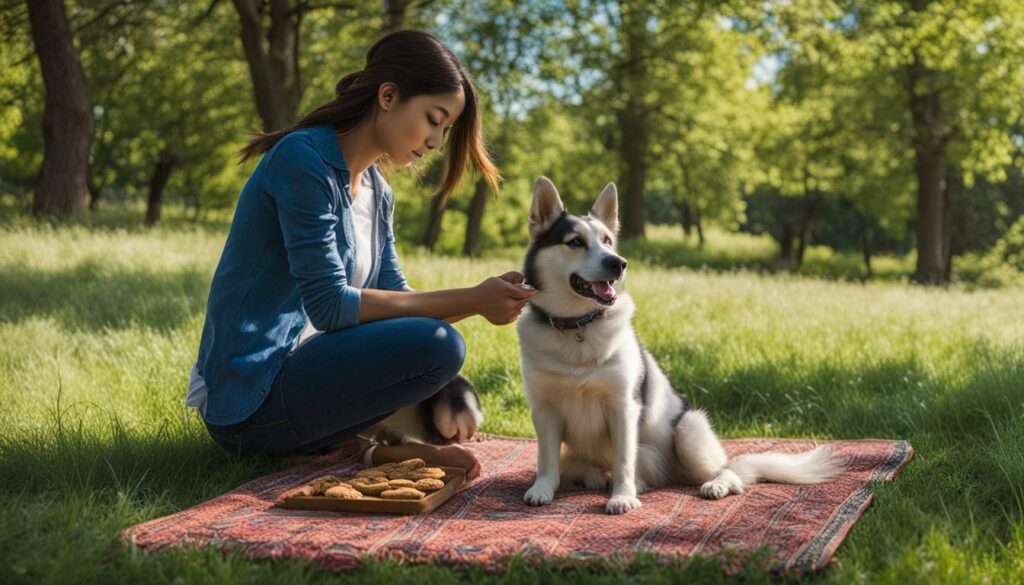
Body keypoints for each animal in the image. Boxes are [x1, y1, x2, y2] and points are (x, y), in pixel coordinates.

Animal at [516, 176, 843, 514]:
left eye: (607, 241)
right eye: (575, 242)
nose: (619, 263)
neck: (579, 326)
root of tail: (669, 473)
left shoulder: (624, 407)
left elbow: (623, 461)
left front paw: (622, 496)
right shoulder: (544, 408)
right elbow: (546, 460)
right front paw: (542, 489)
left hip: (688, 431)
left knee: (731, 471)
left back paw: (712, 485)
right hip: (581, 458)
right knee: (586, 470)